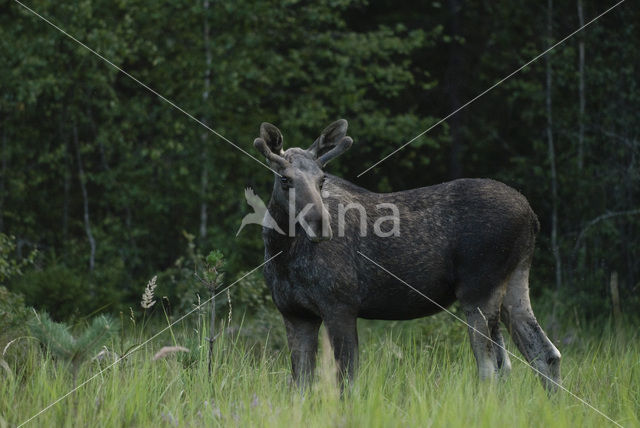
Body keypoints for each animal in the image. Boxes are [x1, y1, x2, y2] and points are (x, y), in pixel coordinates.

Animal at [254, 118, 560, 390]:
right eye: (285, 179)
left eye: (322, 179)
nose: (321, 225)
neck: (282, 253)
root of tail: (532, 217)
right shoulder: (295, 314)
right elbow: (301, 385)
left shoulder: (340, 305)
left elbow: (346, 382)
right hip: (515, 280)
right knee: (545, 354)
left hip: (478, 289)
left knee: (492, 369)